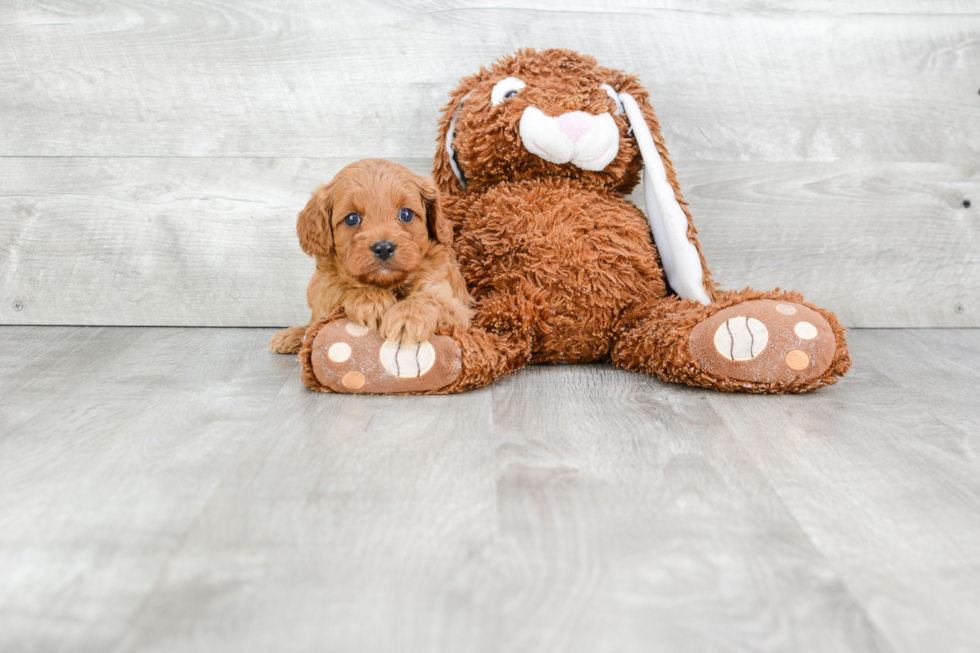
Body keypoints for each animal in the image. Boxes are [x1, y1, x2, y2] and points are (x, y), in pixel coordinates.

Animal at [270, 158, 472, 354]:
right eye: (351, 218)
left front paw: (407, 318)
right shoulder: (323, 291)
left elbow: (431, 298)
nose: (383, 248)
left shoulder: (454, 303)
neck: (388, 283)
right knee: (311, 325)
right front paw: (372, 300)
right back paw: (290, 336)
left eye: (406, 214)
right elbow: (340, 288)